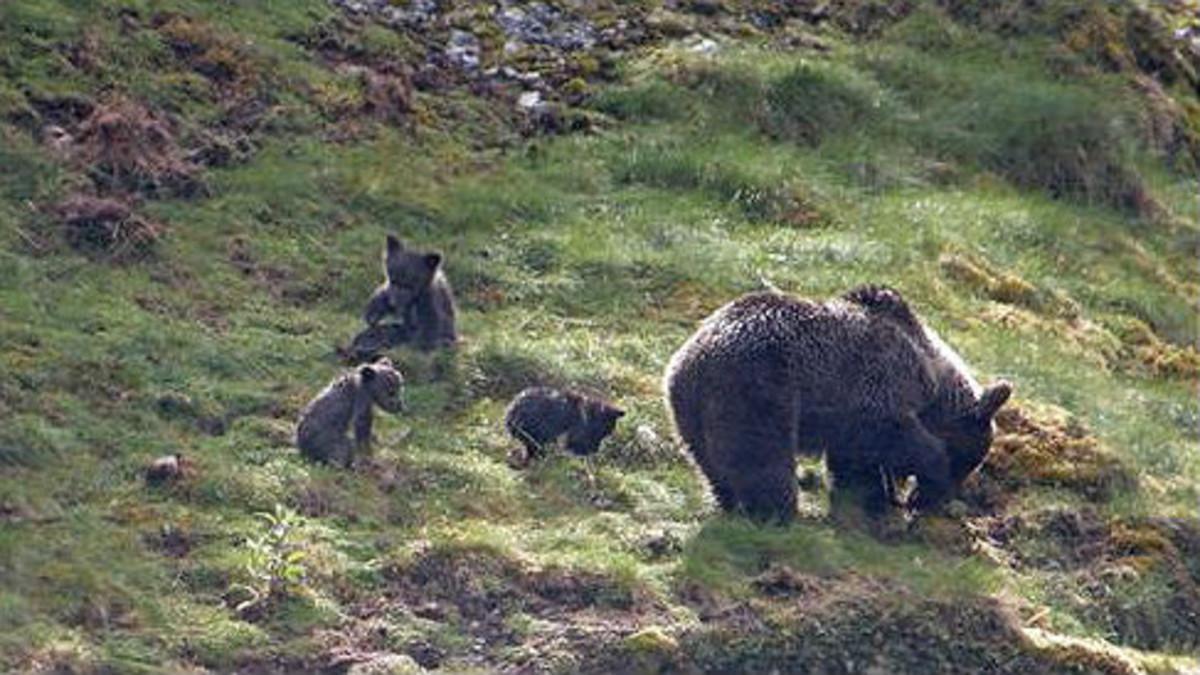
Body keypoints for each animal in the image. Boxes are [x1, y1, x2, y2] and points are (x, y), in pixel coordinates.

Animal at [662, 283, 1008, 521]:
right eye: (967, 459)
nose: (932, 500)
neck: (930, 375)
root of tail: (692, 359)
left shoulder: (848, 414)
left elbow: (854, 459)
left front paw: (867, 496)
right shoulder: (878, 381)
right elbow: (895, 434)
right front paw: (927, 473)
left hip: (689, 409)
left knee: (710, 460)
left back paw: (730, 501)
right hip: (758, 388)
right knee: (761, 453)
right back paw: (776, 510)